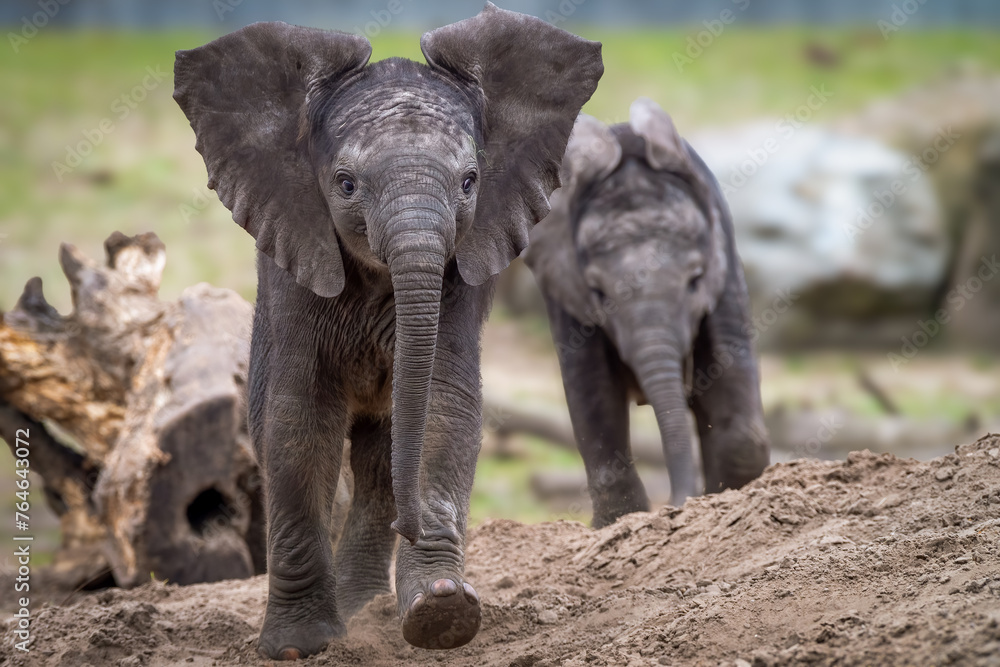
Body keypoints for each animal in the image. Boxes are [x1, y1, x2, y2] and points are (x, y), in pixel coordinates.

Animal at [172, 4, 602, 660]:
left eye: (470, 182)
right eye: (346, 183)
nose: (412, 523)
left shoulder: (462, 269)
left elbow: (443, 406)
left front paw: (440, 613)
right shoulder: (297, 251)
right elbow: (298, 421)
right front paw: (298, 645)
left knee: (380, 460)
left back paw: (367, 610)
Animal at [525, 99, 769, 529]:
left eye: (695, 280)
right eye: (599, 292)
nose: (675, 504)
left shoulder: (723, 269)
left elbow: (739, 425)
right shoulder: (565, 288)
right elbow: (593, 395)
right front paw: (618, 522)